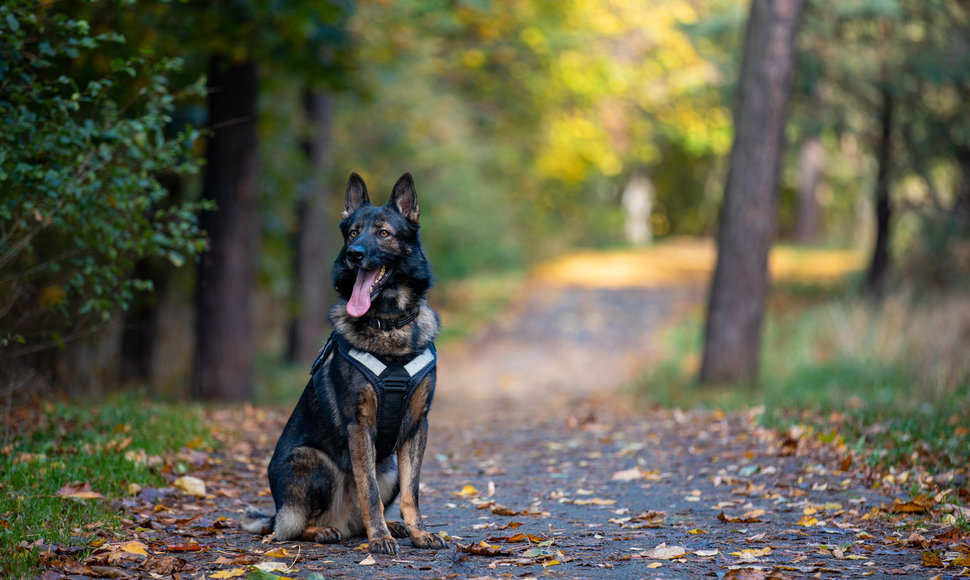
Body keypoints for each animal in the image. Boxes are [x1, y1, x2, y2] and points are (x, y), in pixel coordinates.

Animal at [246, 171, 450, 552]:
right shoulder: (360, 426)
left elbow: (412, 491)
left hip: (389, 467)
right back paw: (328, 530)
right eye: (353, 233)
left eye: (383, 233)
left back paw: (390, 526)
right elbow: (367, 490)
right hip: (312, 460)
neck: (387, 324)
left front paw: (418, 532)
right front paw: (379, 538)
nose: (355, 254)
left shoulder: (418, 426)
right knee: (291, 527)